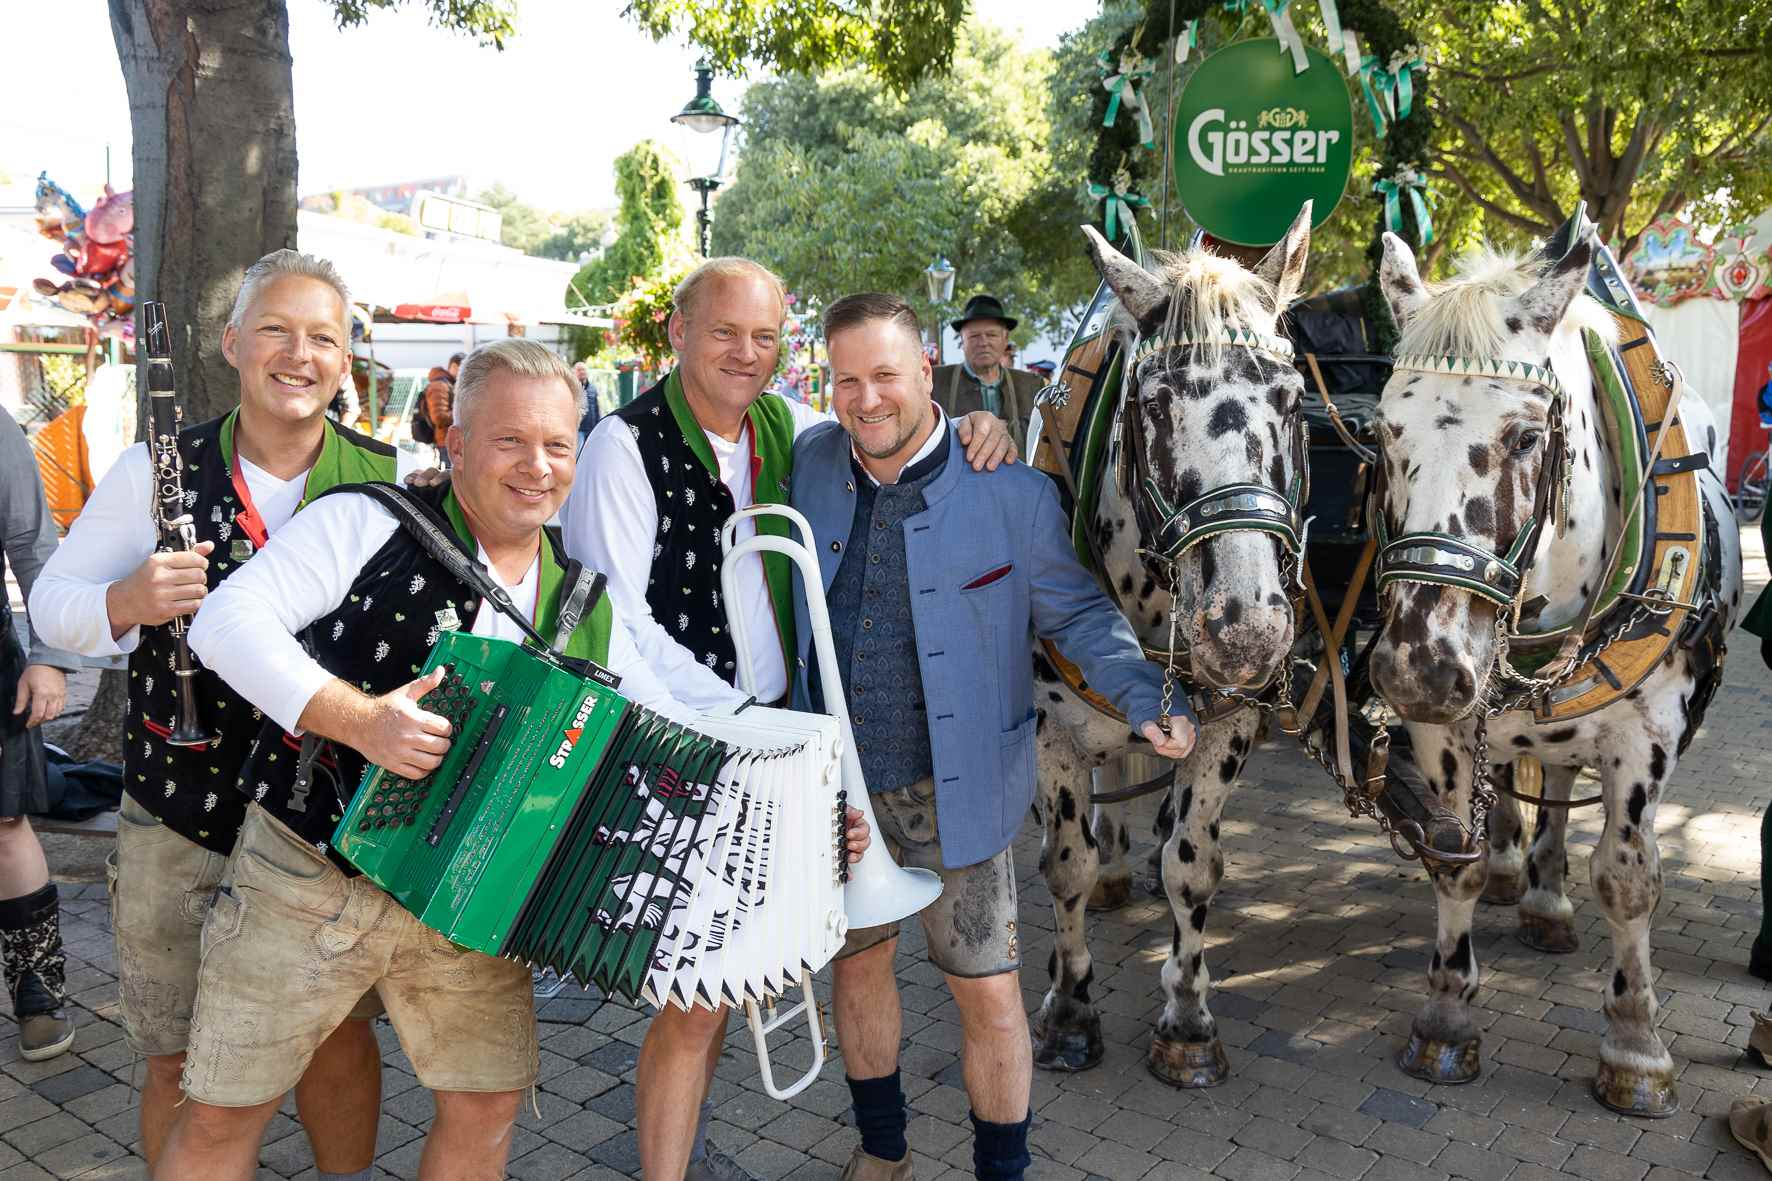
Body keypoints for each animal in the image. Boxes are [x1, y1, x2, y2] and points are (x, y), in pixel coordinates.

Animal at [1027, 204, 1318, 1085]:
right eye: (1152, 403)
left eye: (1292, 399)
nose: (1246, 626)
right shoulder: (1049, 727)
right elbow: (1068, 859)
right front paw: (1069, 1008)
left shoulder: (1227, 721)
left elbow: (1193, 861)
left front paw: (1187, 1015)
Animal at [1360, 213, 1736, 1113]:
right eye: (1382, 432)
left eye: (1527, 436)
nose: (1418, 668)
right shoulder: (1449, 728)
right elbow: (1453, 858)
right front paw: (1446, 1018)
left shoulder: (1642, 737)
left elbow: (1629, 880)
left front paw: (1635, 1046)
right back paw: (1516, 873)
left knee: (1562, 789)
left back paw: (1547, 899)